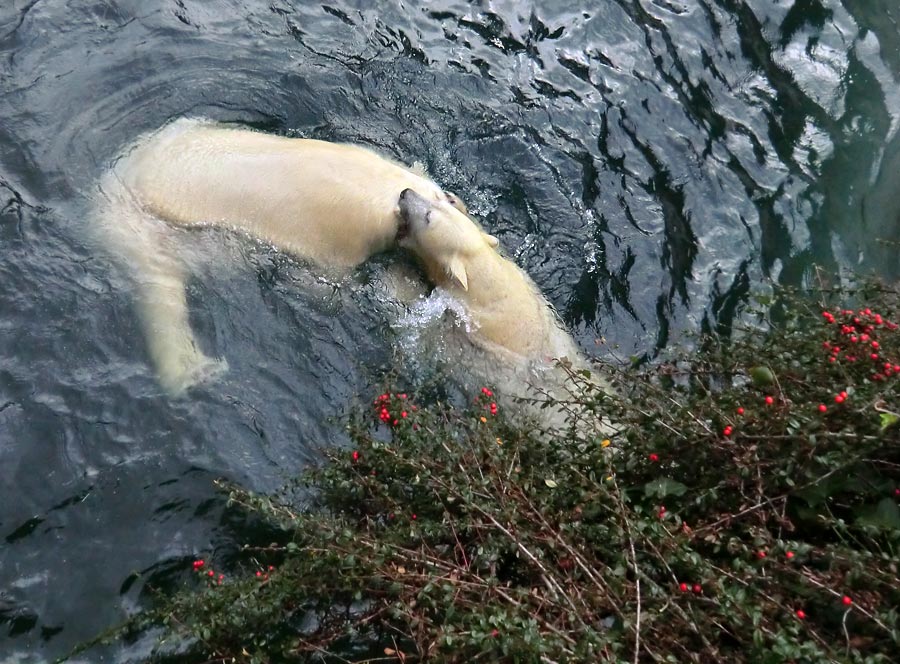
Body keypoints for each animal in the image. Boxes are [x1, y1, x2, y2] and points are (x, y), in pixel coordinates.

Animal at [95, 118, 468, 394]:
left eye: (443, 199)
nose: (454, 200)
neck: (364, 183)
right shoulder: (331, 243)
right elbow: (326, 290)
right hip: (138, 229)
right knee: (160, 292)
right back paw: (197, 372)